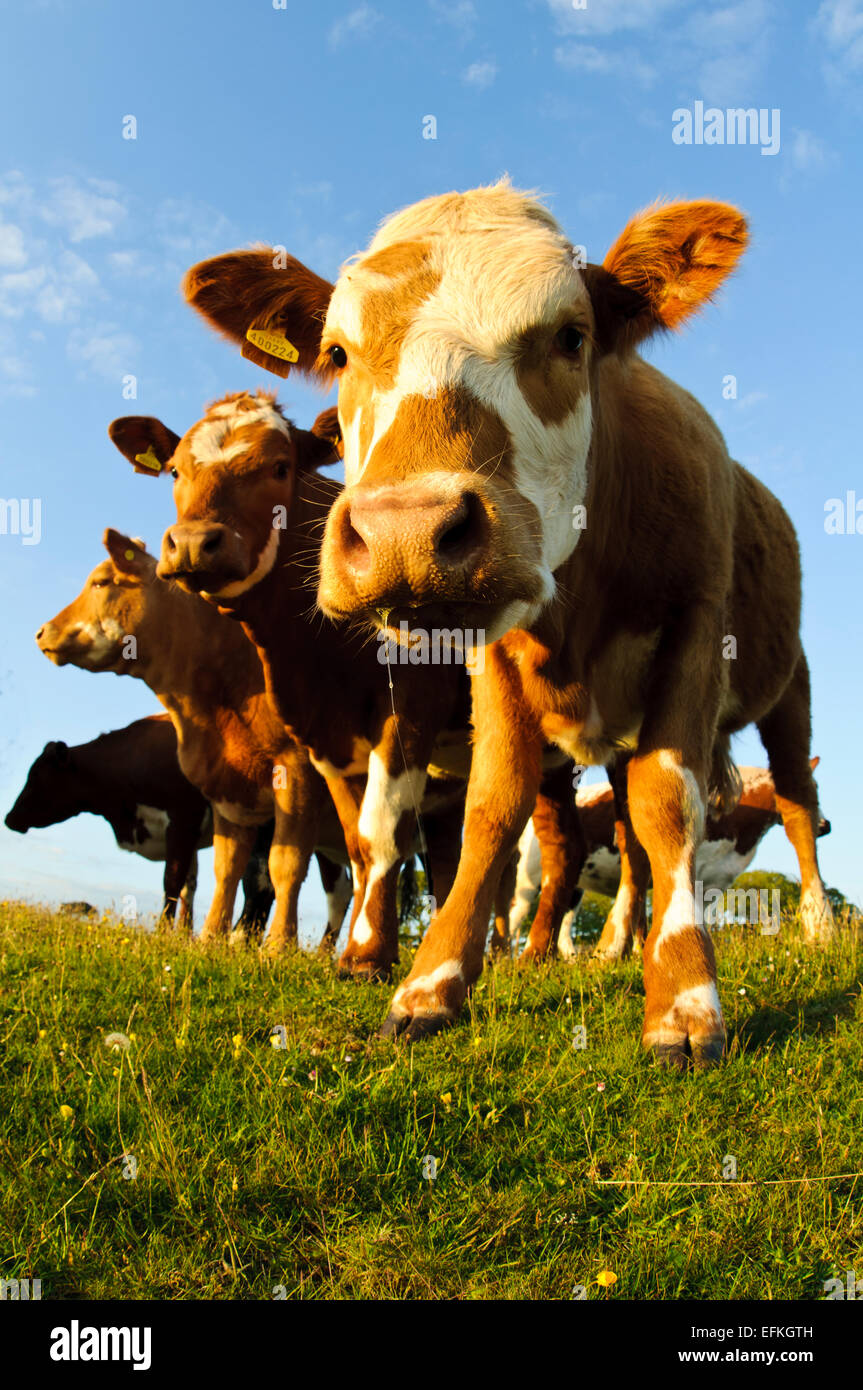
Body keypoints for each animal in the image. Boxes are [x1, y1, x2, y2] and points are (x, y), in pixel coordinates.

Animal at [177, 176, 833, 1061]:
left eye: (569, 336)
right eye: (339, 354)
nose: (406, 532)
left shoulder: (696, 629)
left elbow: (671, 805)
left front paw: (684, 1000)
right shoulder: (486, 659)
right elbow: (487, 811)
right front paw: (429, 984)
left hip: (788, 688)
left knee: (794, 802)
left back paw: (817, 924)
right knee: (622, 843)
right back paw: (610, 944)